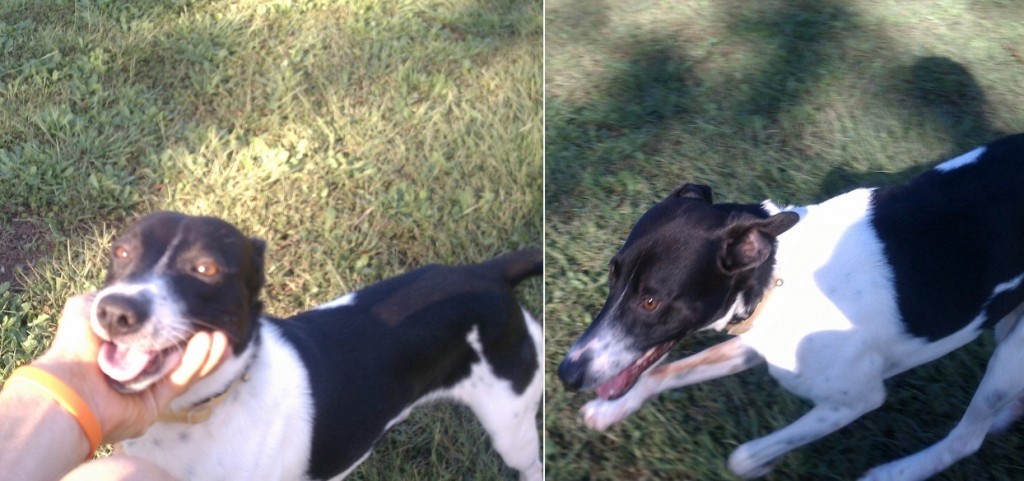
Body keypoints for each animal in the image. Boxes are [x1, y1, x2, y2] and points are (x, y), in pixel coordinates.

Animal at [88, 212, 544, 481]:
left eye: (205, 268)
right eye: (121, 251)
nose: (115, 312)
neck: (204, 412)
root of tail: (487, 273)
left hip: (511, 424)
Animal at [561, 133, 1024, 478]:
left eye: (651, 301)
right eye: (613, 275)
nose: (567, 372)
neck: (778, 274)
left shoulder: (854, 401)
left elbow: (742, 455)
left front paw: (763, 465)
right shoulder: (752, 342)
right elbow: (661, 373)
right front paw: (610, 410)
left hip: (1008, 361)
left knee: (965, 439)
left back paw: (898, 472)